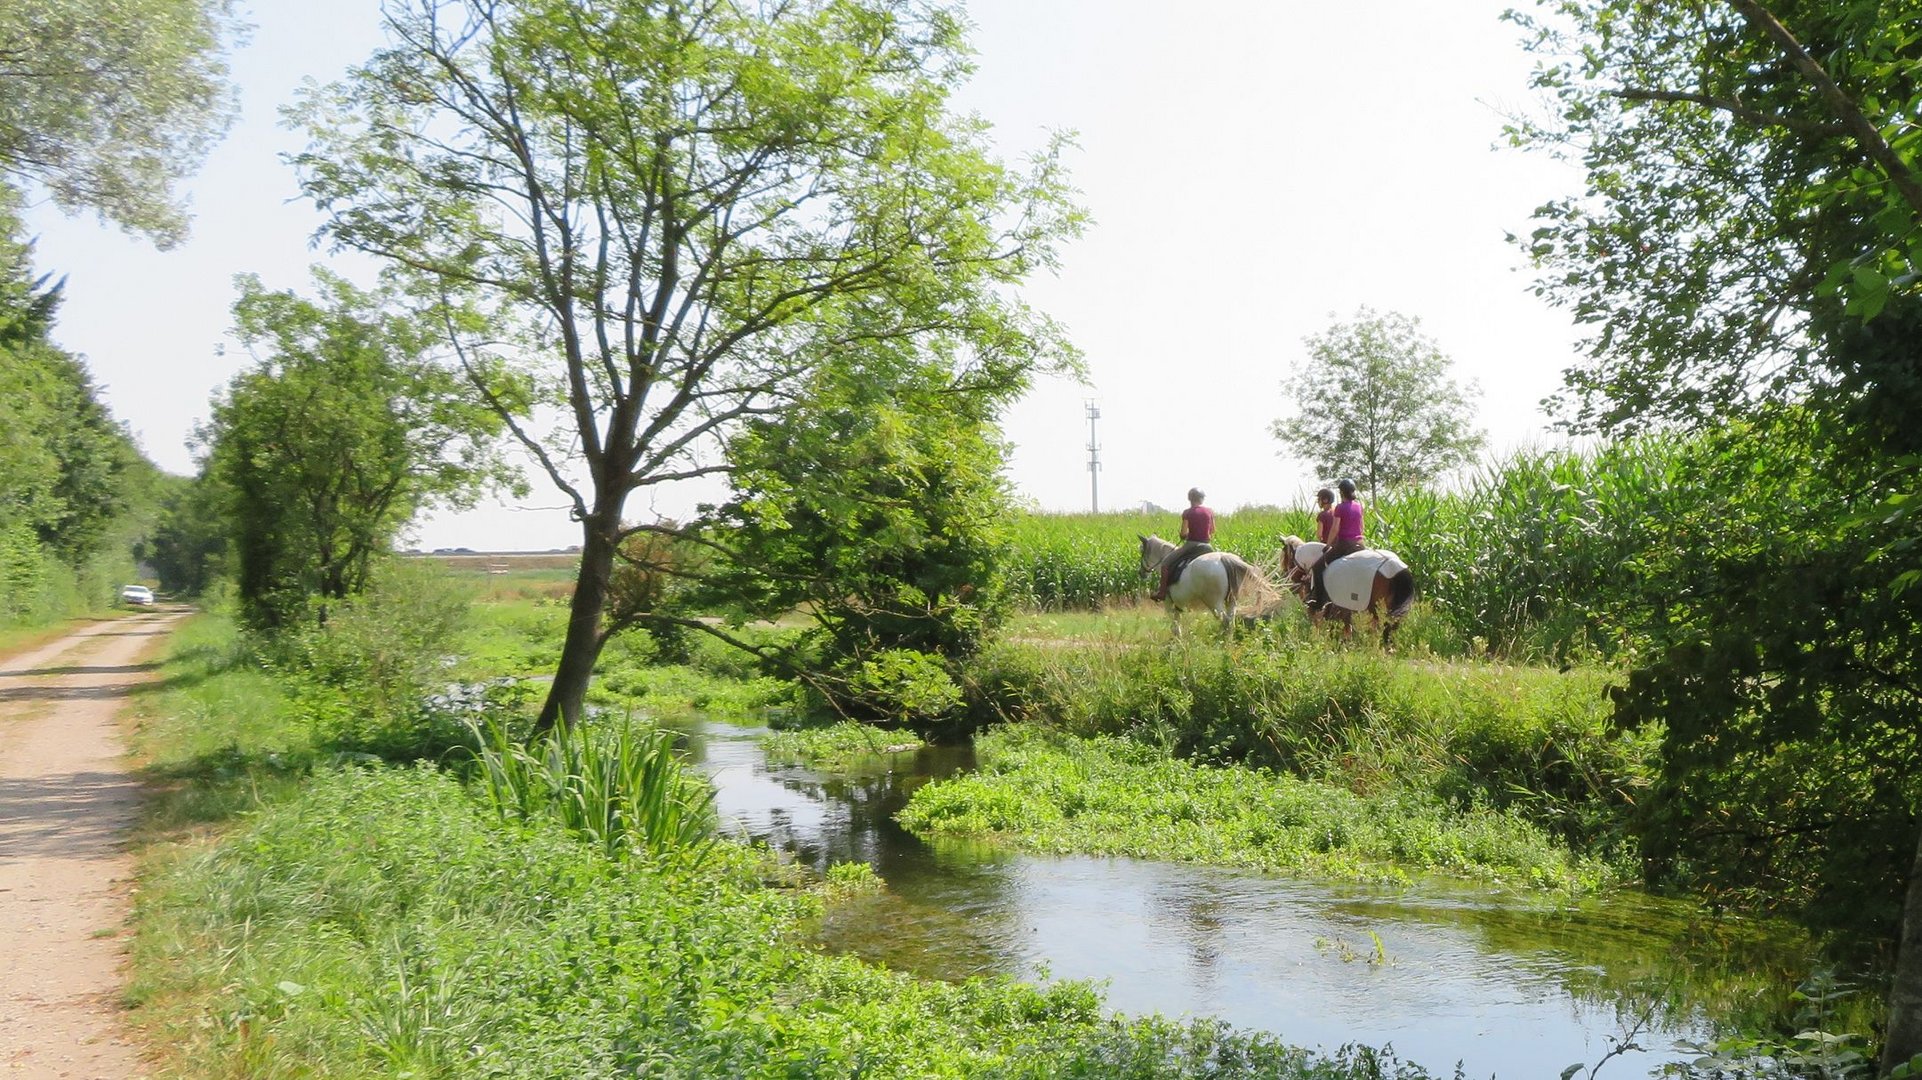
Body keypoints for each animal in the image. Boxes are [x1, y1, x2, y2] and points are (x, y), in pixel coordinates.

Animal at [1137, 530, 1276, 630]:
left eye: (1141, 552)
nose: (1141, 573)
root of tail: (1224, 559)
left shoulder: (1168, 602)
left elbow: (1175, 626)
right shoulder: (1178, 605)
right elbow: (1177, 623)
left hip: (1214, 603)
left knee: (1225, 621)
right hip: (1231, 600)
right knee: (1230, 622)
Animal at [1283, 530, 1422, 641]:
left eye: (1286, 558)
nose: (1287, 580)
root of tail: (1394, 566)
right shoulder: (1343, 607)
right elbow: (1346, 627)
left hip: (1377, 607)